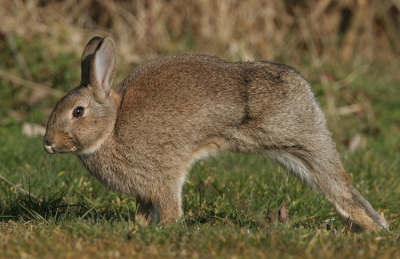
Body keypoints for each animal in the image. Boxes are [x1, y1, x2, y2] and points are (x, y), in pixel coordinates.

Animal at [43, 36, 388, 232]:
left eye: (78, 112)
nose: (47, 144)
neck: (111, 126)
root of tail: (303, 87)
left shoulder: (163, 176)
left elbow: (170, 208)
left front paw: (162, 230)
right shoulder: (144, 190)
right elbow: (143, 210)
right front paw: (139, 228)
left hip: (302, 140)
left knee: (338, 185)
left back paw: (374, 228)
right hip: (293, 152)